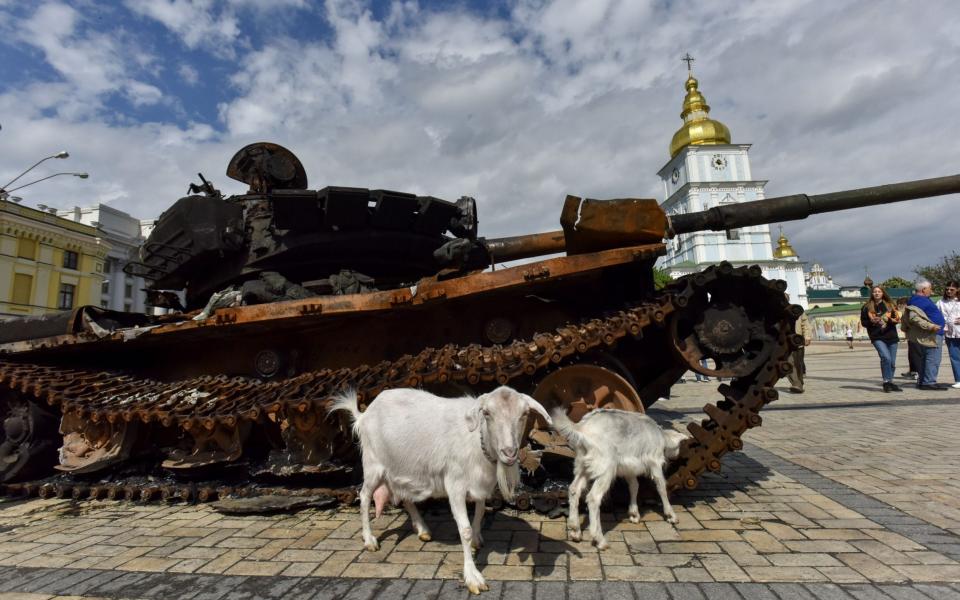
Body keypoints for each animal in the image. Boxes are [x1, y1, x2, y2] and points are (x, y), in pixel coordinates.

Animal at [332, 386, 552, 592]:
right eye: (487, 413)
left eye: (524, 414)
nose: (509, 452)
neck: (476, 442)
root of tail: (364, 414)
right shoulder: (455, 485)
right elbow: (465, 530)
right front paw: (473, 577)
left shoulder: (480, 485)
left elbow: (480, 512)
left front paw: (477, 539)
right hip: (373, 464)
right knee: (364, 496)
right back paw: (369, 540)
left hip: (403, 468)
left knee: (405, 496)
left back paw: (422, 529)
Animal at [552, 408, 688, 548]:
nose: (675, 457)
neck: (661, 435)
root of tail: (582, 428)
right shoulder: (655, 462)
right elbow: (661, 488)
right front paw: (671, 515)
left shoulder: (630, 468)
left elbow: (634, 486)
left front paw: (634, 513)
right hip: (605, 467)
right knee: (593, 498)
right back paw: (599, 539)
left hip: (584, 465)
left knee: (574, 489)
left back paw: (575, 530)